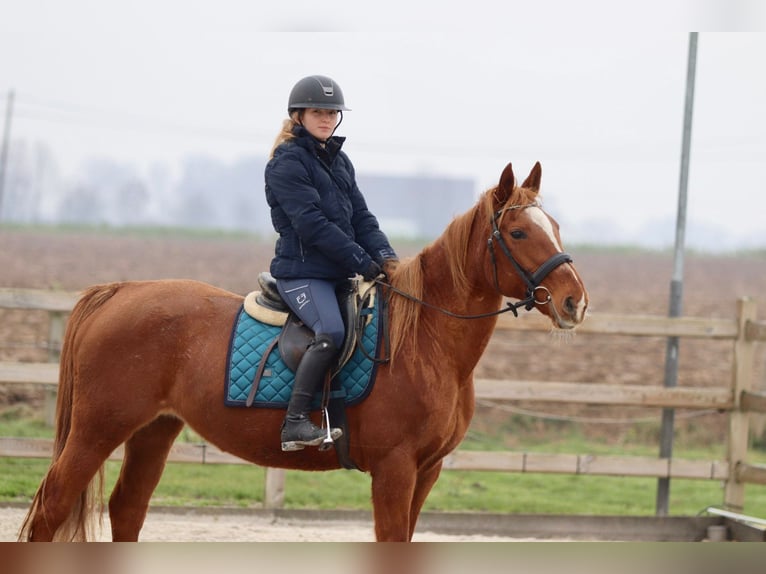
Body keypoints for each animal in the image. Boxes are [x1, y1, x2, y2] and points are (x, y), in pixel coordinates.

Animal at [18, 161, 588, 542]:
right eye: (519, 231)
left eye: (557, 228)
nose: (574, 301)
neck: (425, 342)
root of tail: (119, 290)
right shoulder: (395, 470)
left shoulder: (426, 471)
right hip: (97, 430)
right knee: (51, 508)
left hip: (153, 430)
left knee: (127, 509)